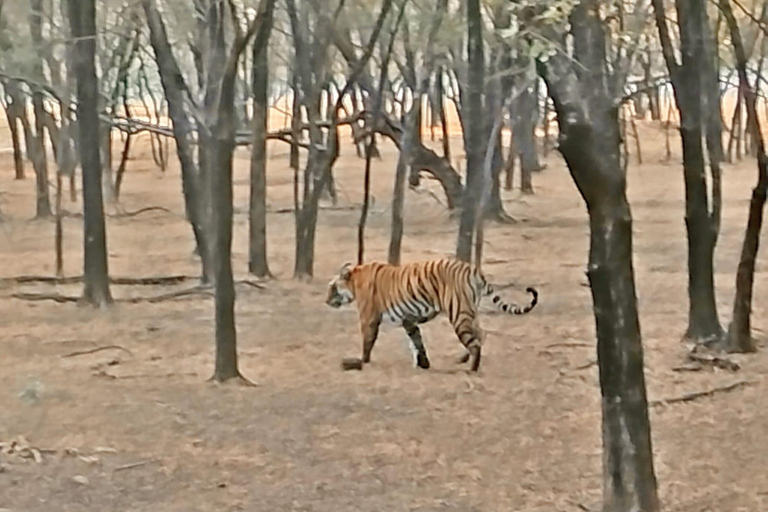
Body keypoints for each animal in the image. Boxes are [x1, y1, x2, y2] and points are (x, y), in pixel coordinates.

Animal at [325, 258, 538, 372]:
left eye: (332, 287)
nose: (326, 301)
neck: (355, 278)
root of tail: (473, 269)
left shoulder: (368, 318)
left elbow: (367, 341)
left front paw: (362, 361)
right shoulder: (408, 320)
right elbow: (417, 341)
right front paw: (424, 364)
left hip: (459, 313)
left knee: (475, 342)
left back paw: (472, 368)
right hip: (469, 311)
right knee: (481, 334)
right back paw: (462, 359)